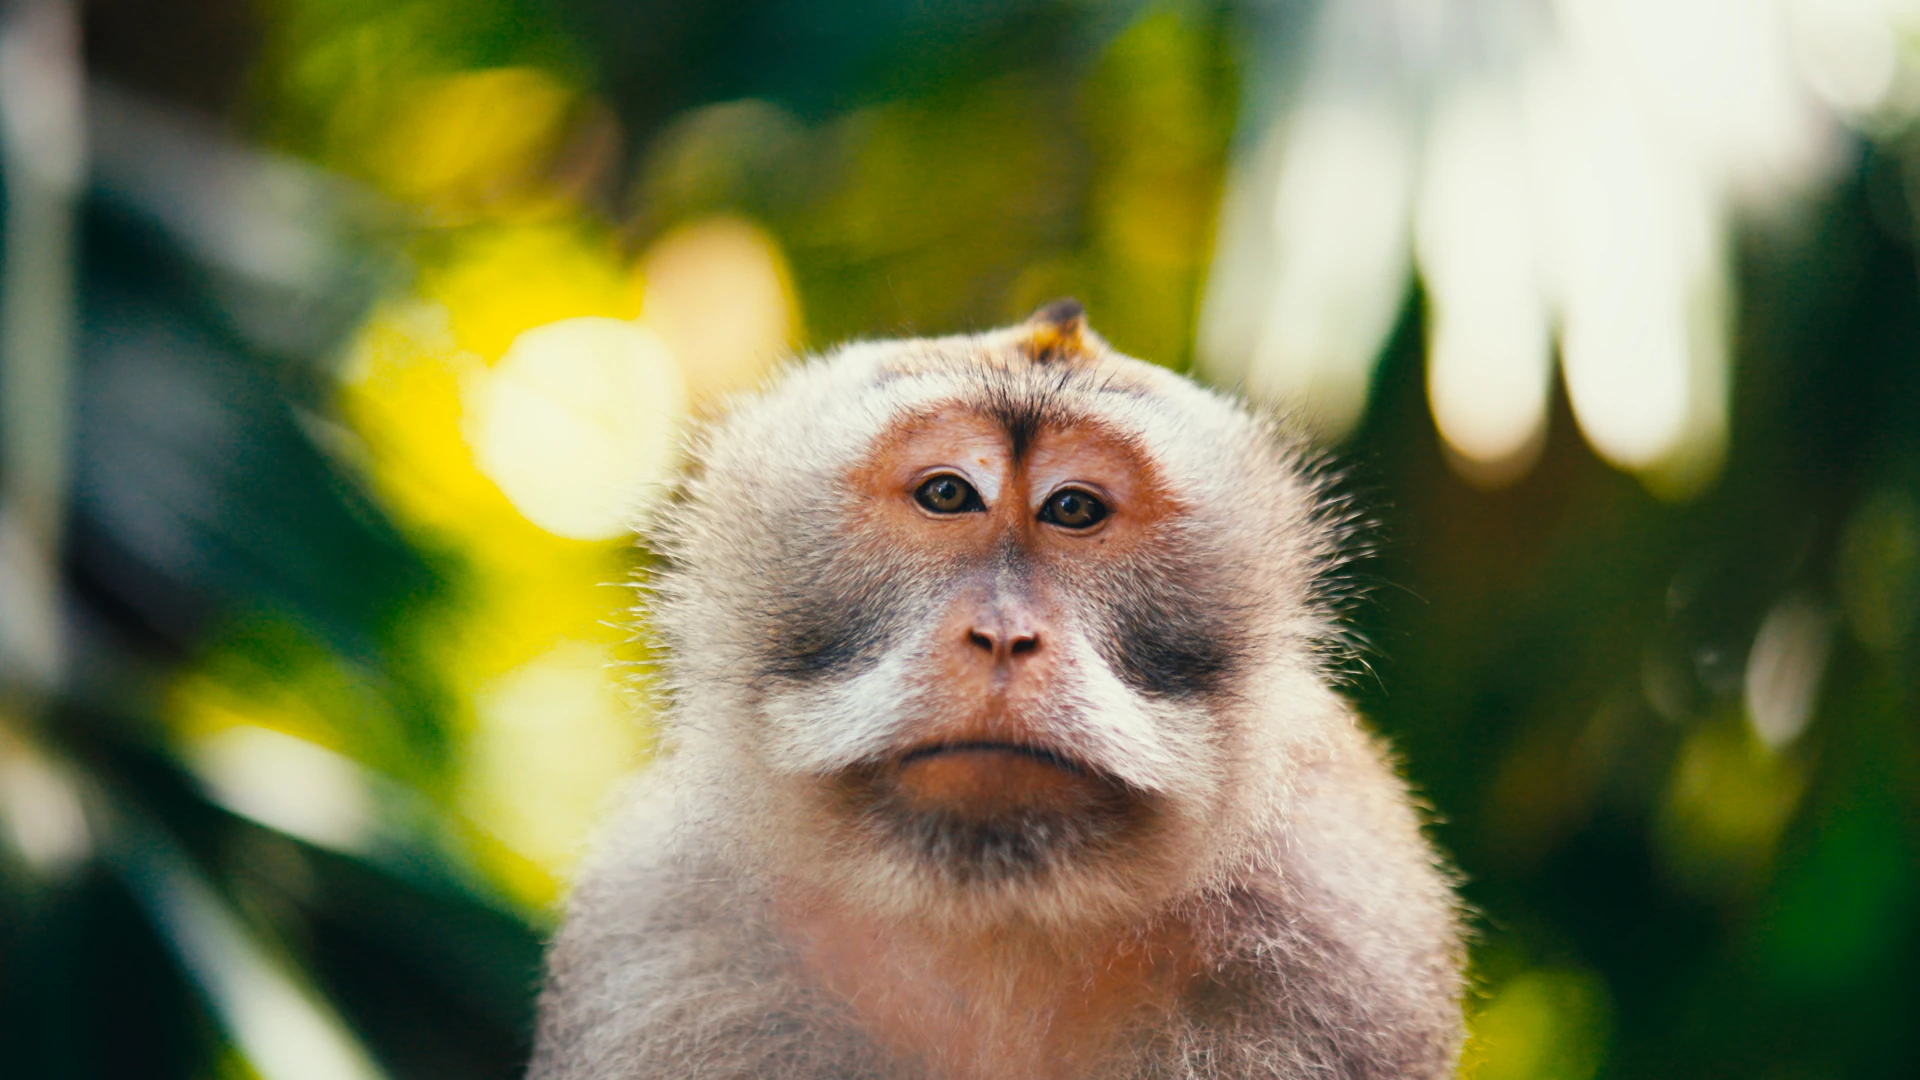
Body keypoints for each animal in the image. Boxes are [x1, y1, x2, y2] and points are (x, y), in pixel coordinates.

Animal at [529, 301, 1466, 1080]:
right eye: (948, 493)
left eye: (1074, 508)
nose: (1005, 634)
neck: (993, 917)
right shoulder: (663, 928)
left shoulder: (1339, 934)